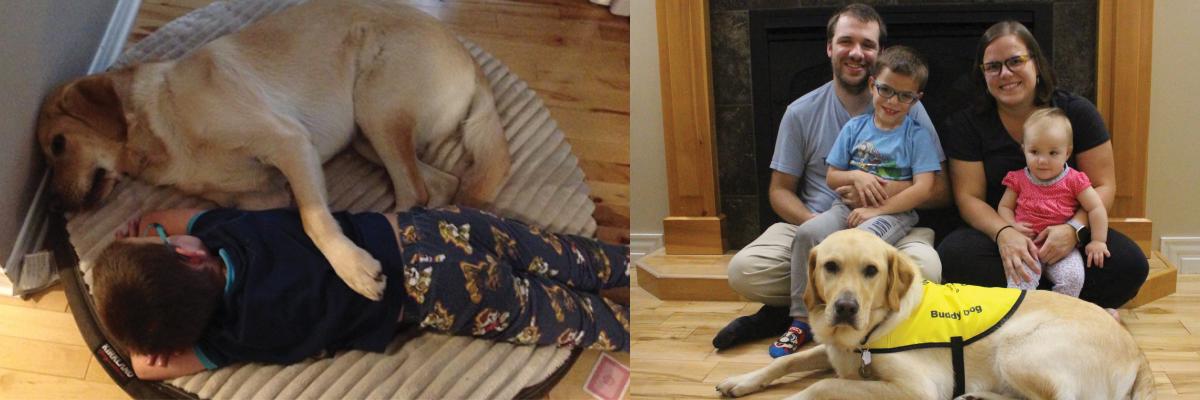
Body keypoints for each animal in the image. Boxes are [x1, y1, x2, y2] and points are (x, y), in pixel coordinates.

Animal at [32, 0, 511, 299]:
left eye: (58, 144)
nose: (51, 205)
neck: (157, 125)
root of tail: (469, 60)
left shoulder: (289, 141)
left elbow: (314, 220)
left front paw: (352, 268)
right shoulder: (265, 194)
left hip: (377, 107)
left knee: (415, 190)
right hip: (367, 135)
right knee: (439, 183)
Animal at [710, 229, 1152, 396]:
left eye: (871, 270)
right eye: (830, 266)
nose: (846, 307)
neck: (871, 331)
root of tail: (1137, 350)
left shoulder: (915, 389)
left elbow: (820, 387)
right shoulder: (836, 350)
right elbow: (786, 362)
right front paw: (741, 381)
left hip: (1018, 349)